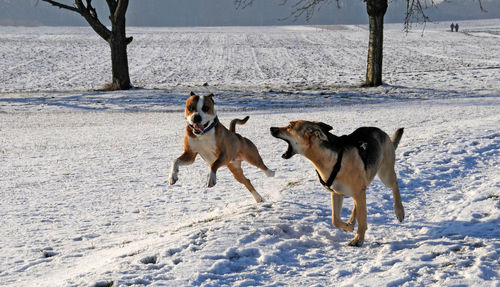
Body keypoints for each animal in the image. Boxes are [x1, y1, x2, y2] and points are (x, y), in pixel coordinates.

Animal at [272, 121, 404, 248]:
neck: (329, 159)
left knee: (395, 184)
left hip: (385, 174)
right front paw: (349, 227)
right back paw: (351, 221)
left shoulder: (356, 191)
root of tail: (379, 131)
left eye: (290, 126)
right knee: (357, 204)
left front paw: (358, 240)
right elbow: (335, 220)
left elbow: (362, 220)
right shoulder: (336, 193)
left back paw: (399, 211)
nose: (271, 128)